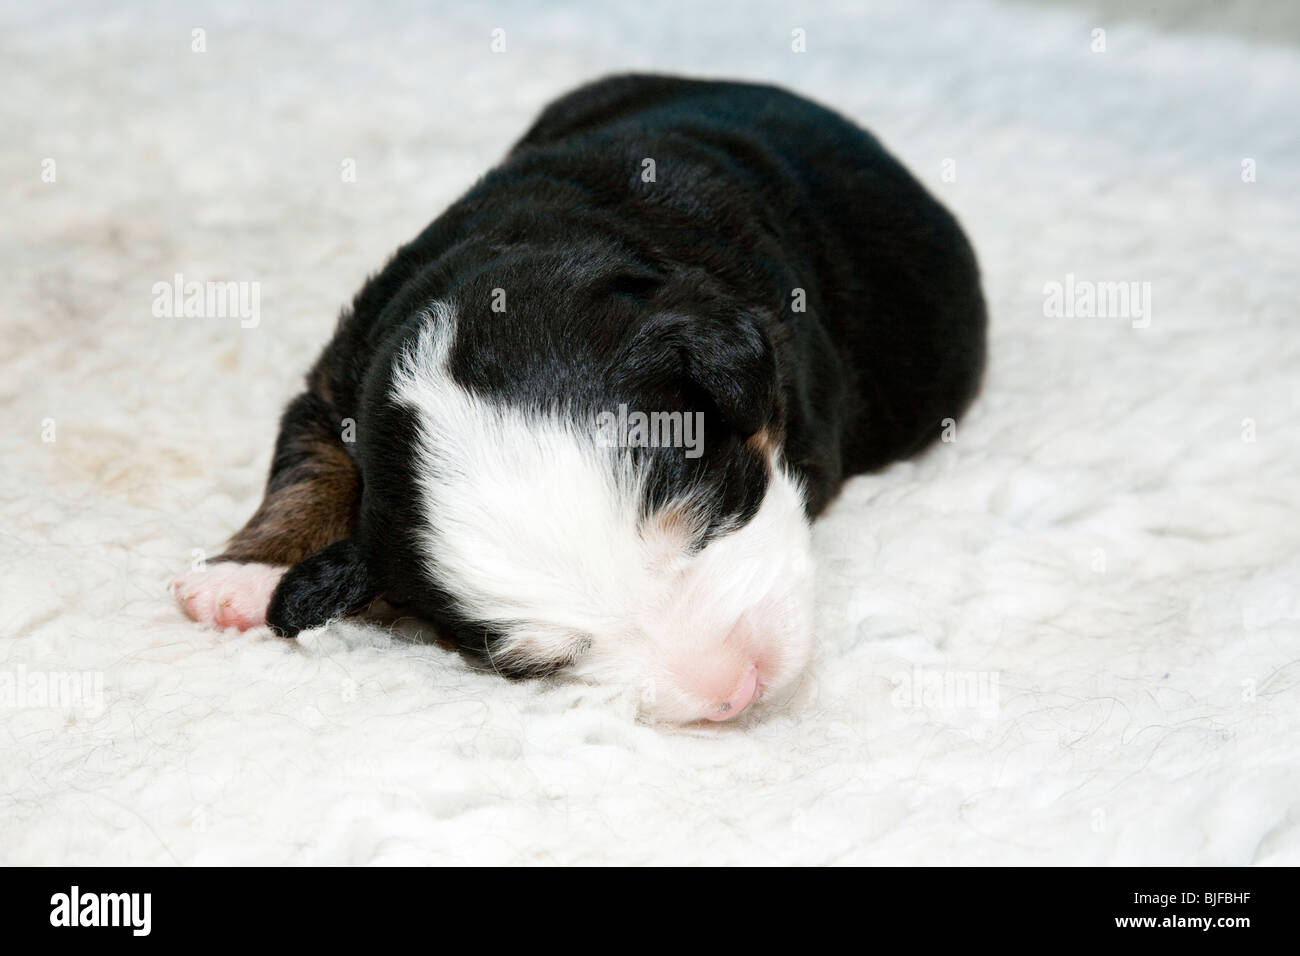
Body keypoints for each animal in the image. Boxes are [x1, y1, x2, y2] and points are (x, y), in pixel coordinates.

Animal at [172, 70, 982, 723]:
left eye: (704, 518)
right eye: (546, 660)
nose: (737, 692)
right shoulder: (345, 365)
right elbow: (309, 462)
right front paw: (243, 574)